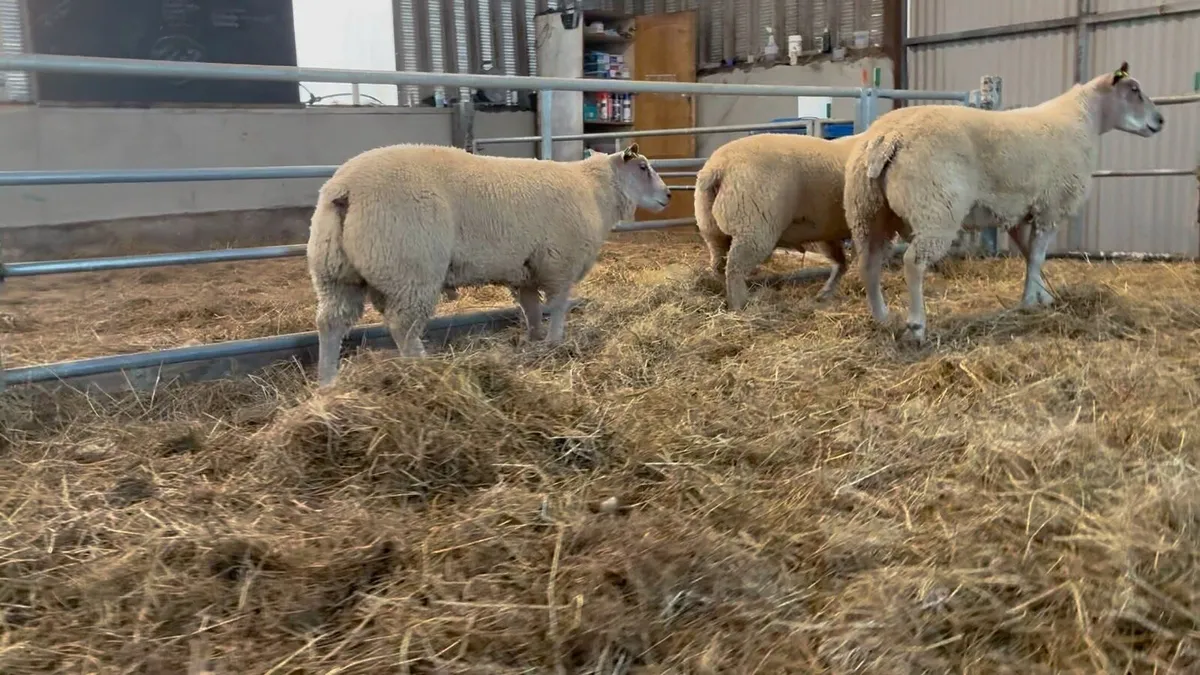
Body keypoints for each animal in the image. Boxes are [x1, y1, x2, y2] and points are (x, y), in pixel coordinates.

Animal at [307, 142, 671, 387]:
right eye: (642, 168)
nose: (667, 195)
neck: (594, 192)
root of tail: (345, 190)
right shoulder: (560, 264)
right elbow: (558, 306)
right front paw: (554, 342)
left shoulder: (526, 269)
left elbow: (531, 308)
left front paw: (534, 339)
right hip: (411, 269)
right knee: (402, 327)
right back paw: (424, 369)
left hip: (335, 273)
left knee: (330, 323)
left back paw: (327, 383)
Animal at [694, 132, 865, 310]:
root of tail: (717, 168)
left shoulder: (829, 231)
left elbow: (841, 261)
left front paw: (828, 292)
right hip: (753, 228)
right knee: (735, 268)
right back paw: (740, 304)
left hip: (711, 229)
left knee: (718, 264)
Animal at [844, 62, 1164, 344]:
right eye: (1134, 89)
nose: (1160, 120)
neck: (1083, 118)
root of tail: (889, 137)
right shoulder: (1051, 207)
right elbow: (1037, 257)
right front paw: (1028, 302)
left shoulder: (1020, 213)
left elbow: (1029, 255)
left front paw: (1042, 296)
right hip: (935, 208)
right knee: (913, 262)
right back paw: (916, 326)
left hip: (868, 210)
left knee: (868, 264)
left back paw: (882, 318)